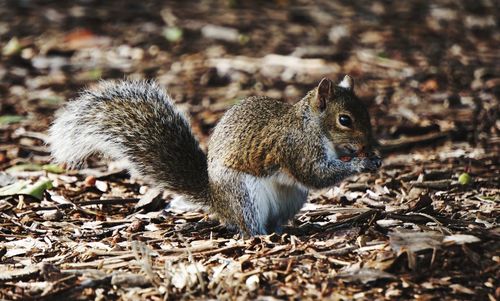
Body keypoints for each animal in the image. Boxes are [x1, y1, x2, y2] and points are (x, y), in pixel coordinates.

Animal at [49, 76, 378, 236]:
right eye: (345, 120)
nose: (370, 144)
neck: (312, 125)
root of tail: (217, 200)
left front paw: (372, 157)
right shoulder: (296, 147)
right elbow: (315, 175)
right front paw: (361, 162)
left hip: (291, 198)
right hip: (244, 195)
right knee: (247, 226)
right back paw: (261, 236)